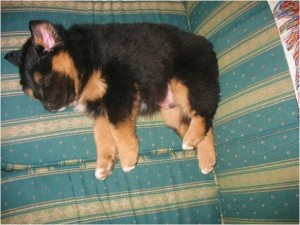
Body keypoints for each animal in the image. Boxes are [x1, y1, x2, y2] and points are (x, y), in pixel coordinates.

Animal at [5, 20, 220, 180]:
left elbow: (118, 129)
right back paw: (206, 159)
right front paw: (104, 164)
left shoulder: (120, 89)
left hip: (185, 82)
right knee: (206, 125)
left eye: (47, 79)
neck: (84, 60)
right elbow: (102, 134)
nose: (48, 107)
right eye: (35, 95)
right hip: (173, 112)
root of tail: (208, 45)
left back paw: (191, 141)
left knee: (203, 113)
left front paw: (128, 159)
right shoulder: (102, 107)